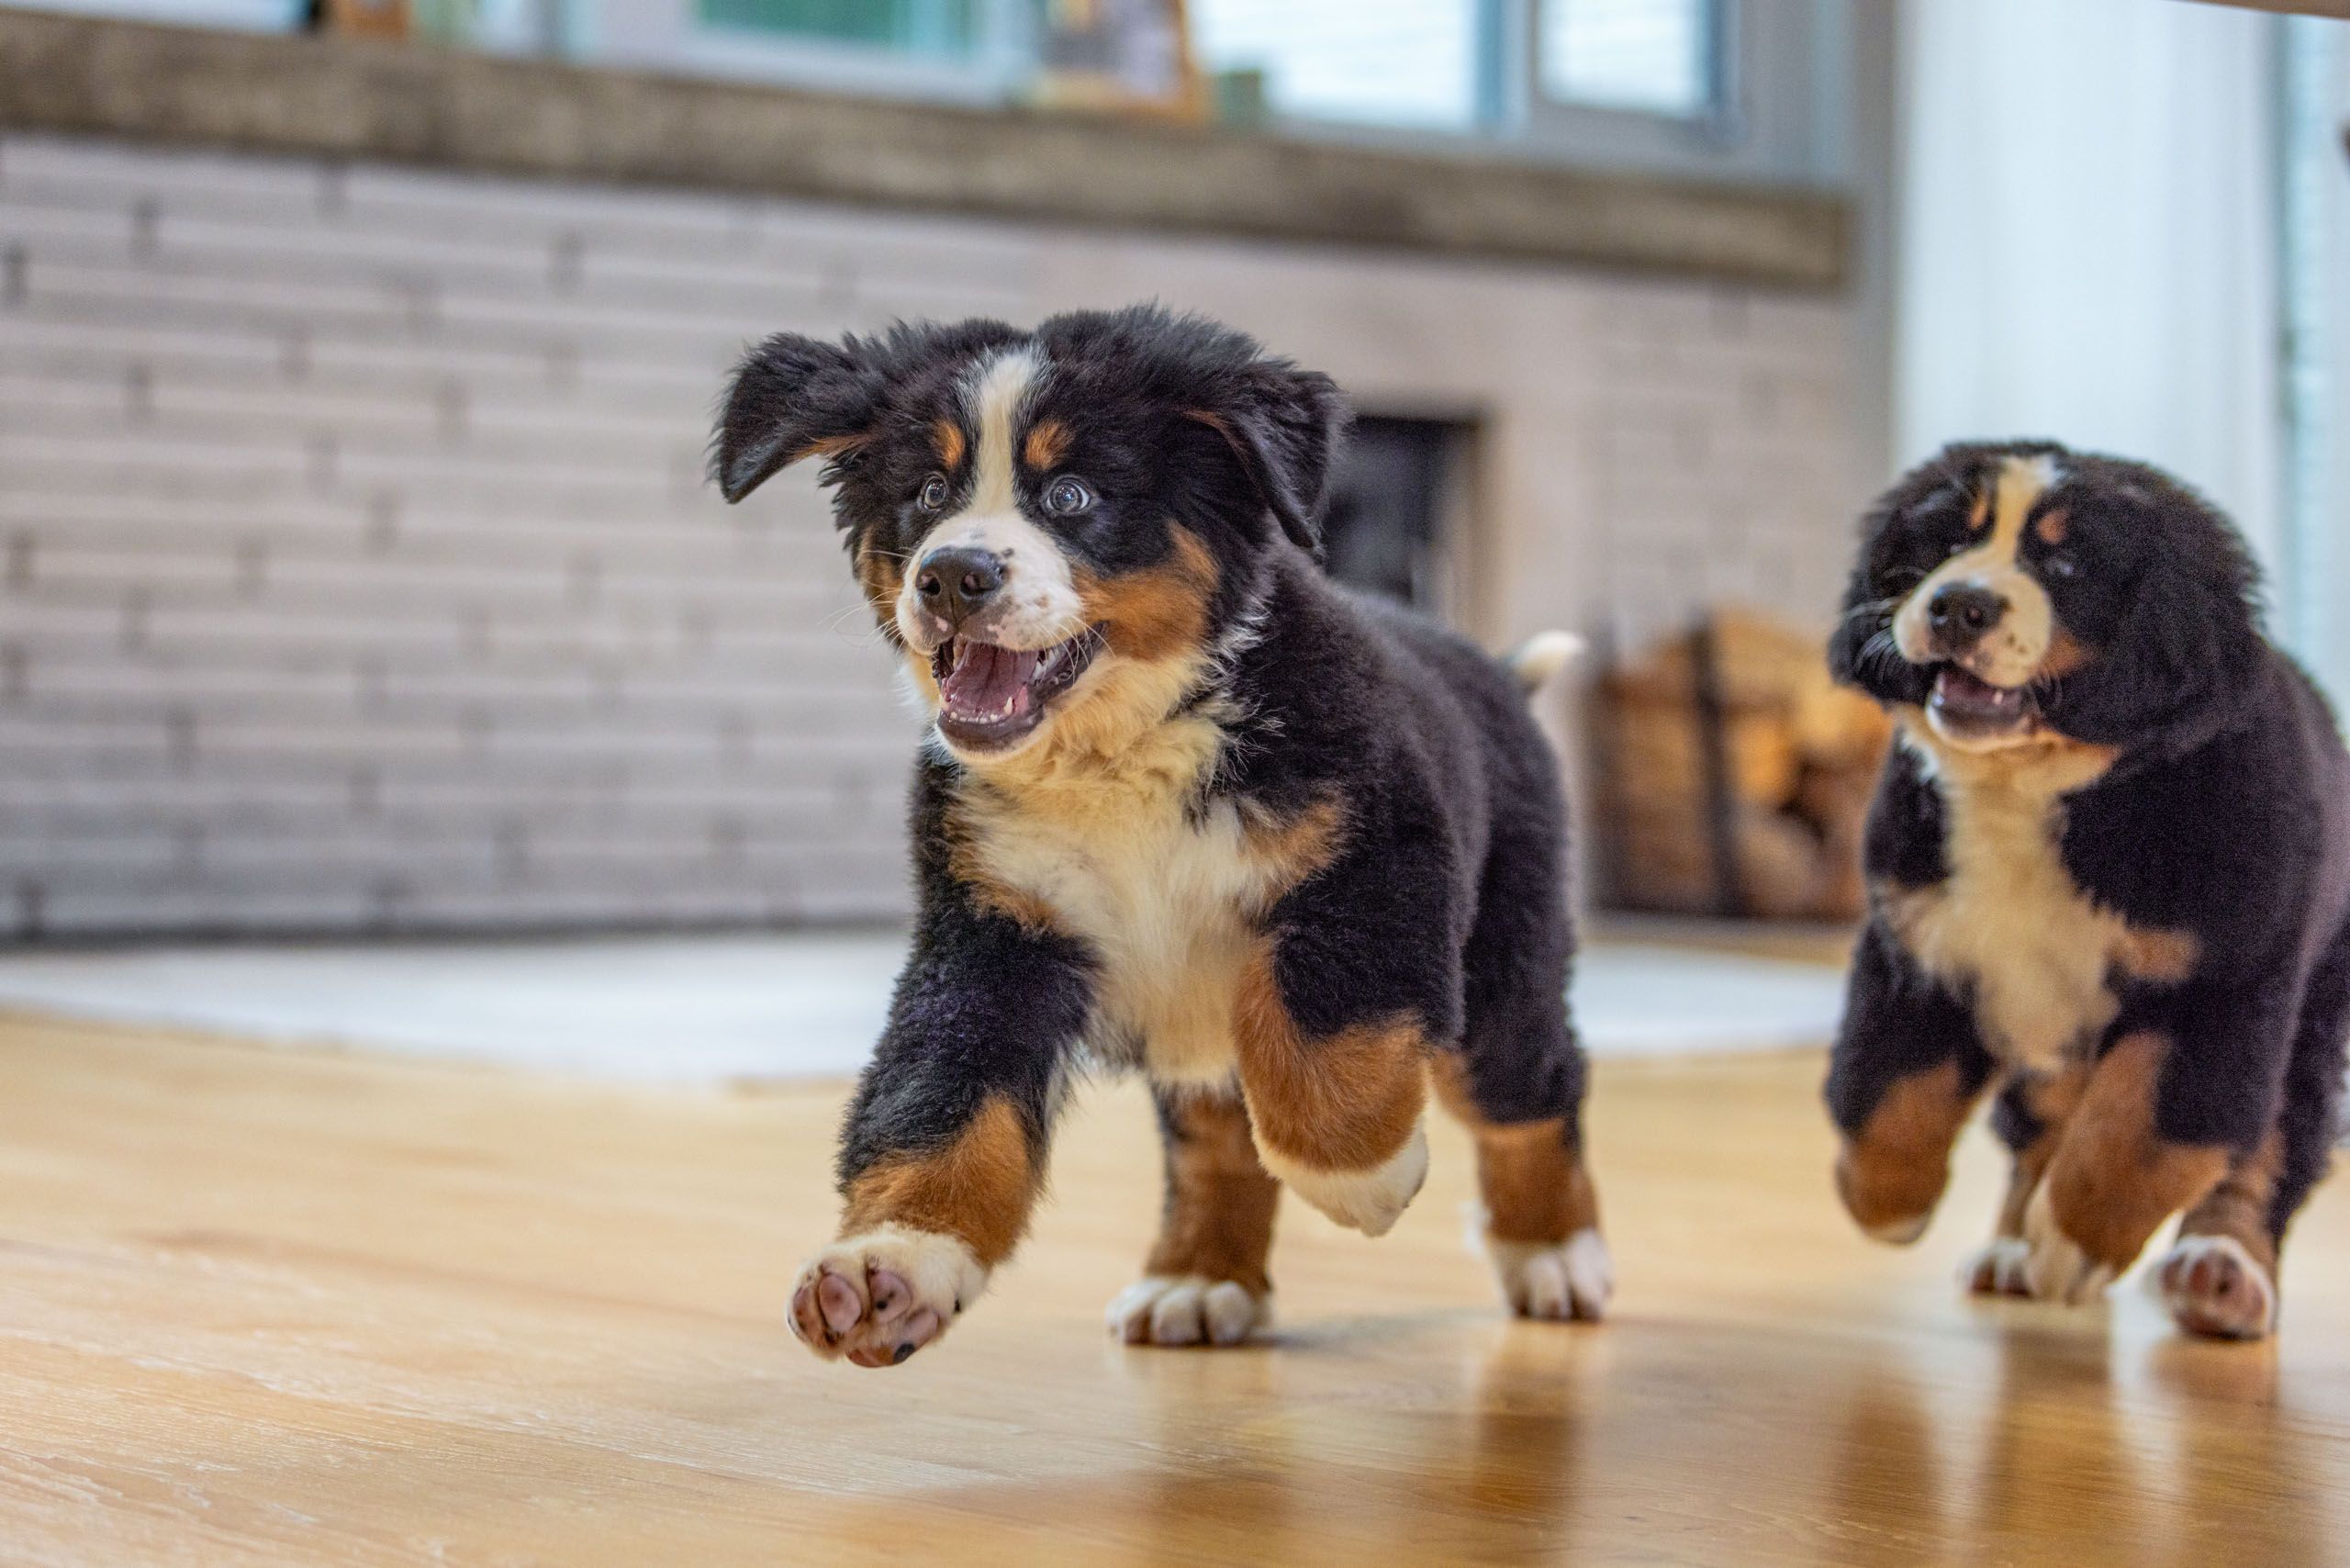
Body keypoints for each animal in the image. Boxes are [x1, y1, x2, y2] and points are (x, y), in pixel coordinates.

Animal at [710, 310, 1617, 1372]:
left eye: (1071, 495)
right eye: (929, 494)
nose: (951, 575)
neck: (1121, 754)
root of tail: (1499, 675)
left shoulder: (1372, 867)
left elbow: (1324, 1052)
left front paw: (1365, 1178)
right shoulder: (990, 934)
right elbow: (935, 1103)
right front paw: (889, 1264)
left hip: (1500, 960)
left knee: (1531, 1089)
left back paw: (1554, 1254)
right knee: (1217, 1139)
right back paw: (1201, 1276)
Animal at [1832, 439, 2350, 1335]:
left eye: (2066, 564)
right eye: (1948, 544)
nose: (1959, 607)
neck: (2037, 791)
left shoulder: (2219, 987)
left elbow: (2143, 1135)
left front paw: (2074, 1245)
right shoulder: (1916, 947)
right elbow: (1888, 1092)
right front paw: (1889, 1200)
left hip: (2313, 1013)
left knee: (2273, 1147)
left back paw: (2221, 1270)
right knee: (2042, 1124)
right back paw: (2012, 1249)